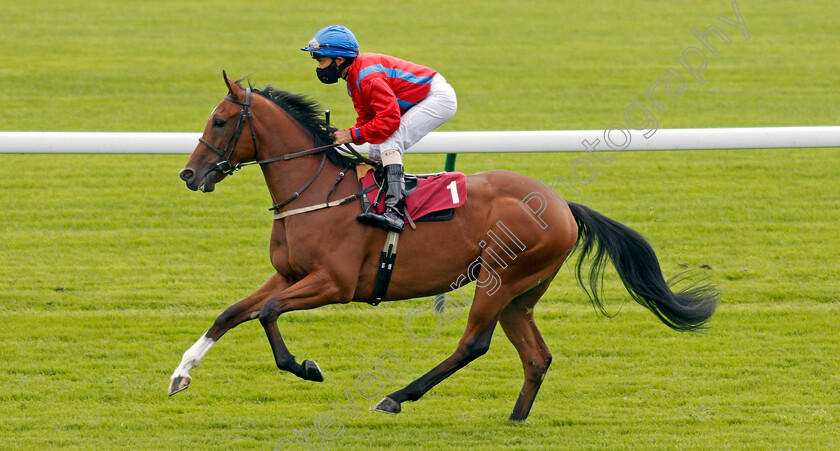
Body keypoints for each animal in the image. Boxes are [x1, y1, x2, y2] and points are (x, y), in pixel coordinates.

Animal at [169, 72, 716, 422]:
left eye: (220, 121)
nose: (190, 174)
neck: (317, 191)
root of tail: (563, 204)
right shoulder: (288, 274)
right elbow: (232, 312)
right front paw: (180, 374)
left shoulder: (334, 283)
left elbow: (267, 314)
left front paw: (306, 367)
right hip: (520, 293)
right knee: (536, 357)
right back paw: (515, 420)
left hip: (499, 278)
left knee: (473, 344)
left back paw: (396, 396)